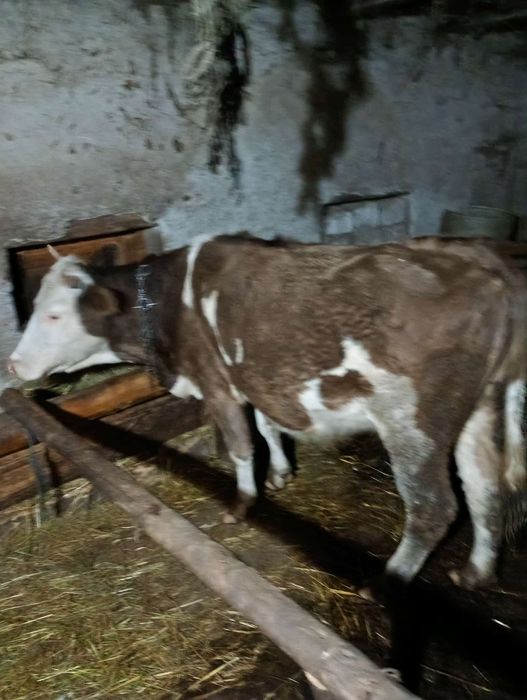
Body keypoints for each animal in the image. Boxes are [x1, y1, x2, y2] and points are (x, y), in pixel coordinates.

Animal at [7, 233, 527, 589]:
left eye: (54, 314)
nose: (12, 363)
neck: (168, 306)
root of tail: (488, 267)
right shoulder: (250, 375)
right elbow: (266, 424)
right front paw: (279, 472)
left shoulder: (216, 382)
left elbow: (241, 444)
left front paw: (242, 503)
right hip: (483, 407)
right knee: (485, 485)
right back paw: (477, 571)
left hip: (411, 421)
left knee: (433, 507)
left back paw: (386, 582)